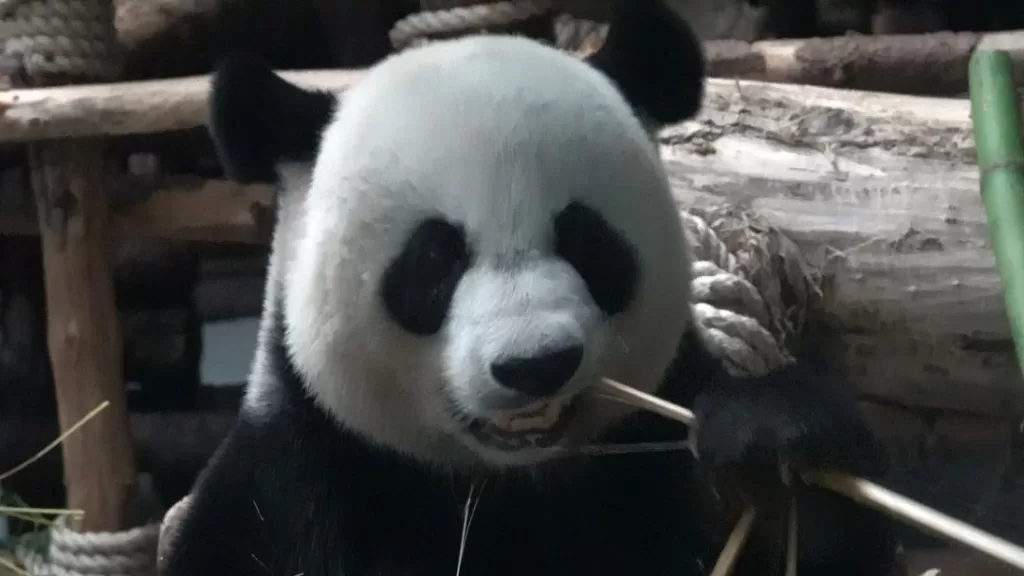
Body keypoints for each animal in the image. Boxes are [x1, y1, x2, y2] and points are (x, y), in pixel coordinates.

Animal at [161, 1, 901, 575]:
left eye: (587, 242)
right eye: (433, 261)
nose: (536, 364)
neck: (507, 484)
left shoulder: (649, 448)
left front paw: (767, 453)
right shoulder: (303, 484)